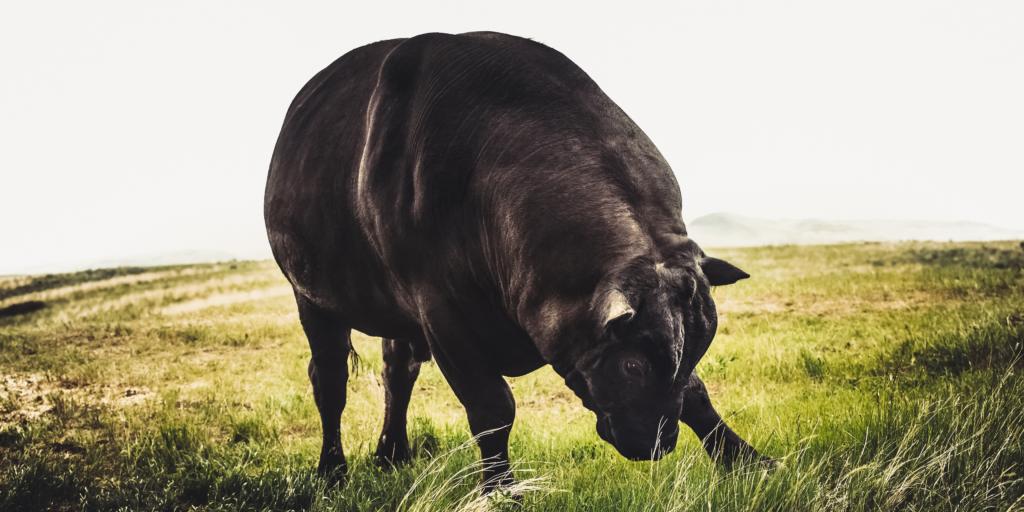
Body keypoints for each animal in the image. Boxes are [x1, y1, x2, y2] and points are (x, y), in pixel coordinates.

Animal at [264, 30, 770, 487]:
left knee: (397, 372)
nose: (657, 445)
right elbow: (493, 409)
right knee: (329, 380)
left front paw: (747, 460)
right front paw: (501, 489)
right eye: (632, 366)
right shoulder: (444, 317)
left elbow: (697, 395)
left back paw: (392, 453)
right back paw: (333, 470)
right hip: (313, 298)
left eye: (697, 350)